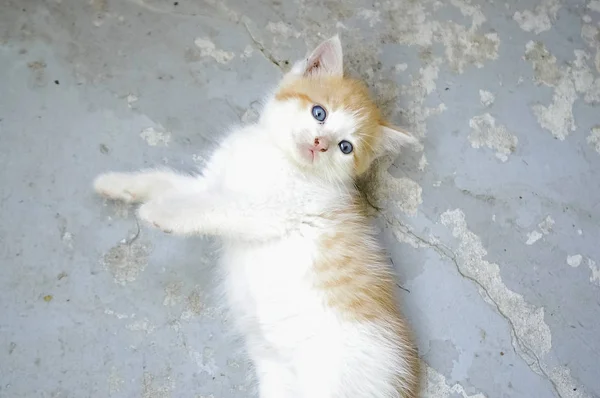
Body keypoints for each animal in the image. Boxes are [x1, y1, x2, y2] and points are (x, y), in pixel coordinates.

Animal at [95, 35, 422, 396]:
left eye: (345, 147)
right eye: (319, 113)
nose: (320, 143)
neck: (276, 154)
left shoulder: (266, 210)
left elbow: (212, 207)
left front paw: (162, 212)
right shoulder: (209, 182)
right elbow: (165, 181)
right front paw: (117, 184)